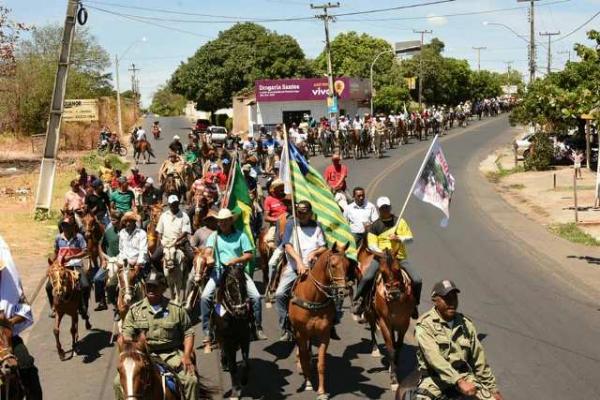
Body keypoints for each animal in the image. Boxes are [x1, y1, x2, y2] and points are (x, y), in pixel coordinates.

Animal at [210, 264, 252, 398]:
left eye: (245, 281)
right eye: (230, 283)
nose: (242, 311)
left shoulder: (245, 337)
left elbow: (246, 362)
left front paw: (244, 380)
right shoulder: (227, 341)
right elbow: (233, 366)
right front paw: (235, 390)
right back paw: (224, 362)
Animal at [290, 242, 352, 398]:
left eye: (348, 265)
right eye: (333, 265)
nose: (344, 291)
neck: (313, 298)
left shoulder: (324, 334)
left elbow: (321, 364)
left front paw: (322, 391)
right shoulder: (301, 333)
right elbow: (304, 359)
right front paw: (308, 384)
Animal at [356, 247, 418, 390]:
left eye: (398, 269)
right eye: (382, 271)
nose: (394, 293)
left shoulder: (404, 323)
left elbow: (398, 346)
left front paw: (394, 366)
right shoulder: (384, 322)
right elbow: (390, 348)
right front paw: (394, 380)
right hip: (371, 313)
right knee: (372, 328)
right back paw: (375, 350)